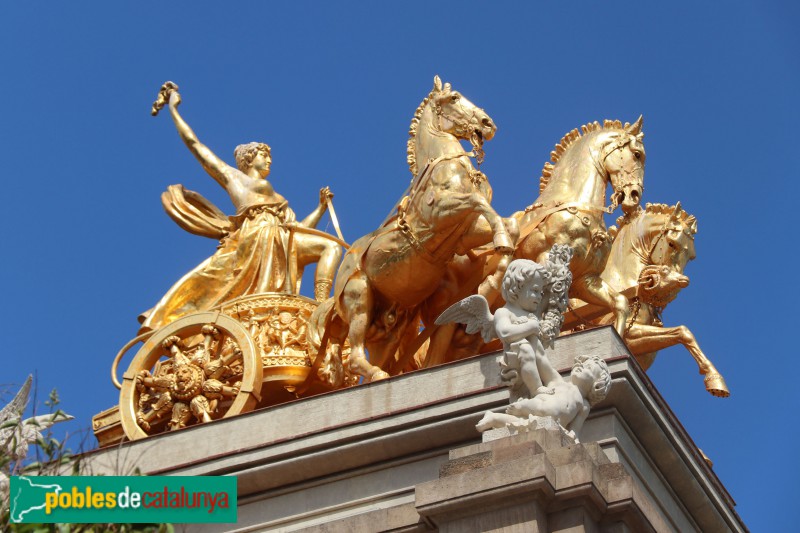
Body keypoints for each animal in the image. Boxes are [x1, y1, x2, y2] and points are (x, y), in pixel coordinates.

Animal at [310, 75, 516, 382]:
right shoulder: (440, 212)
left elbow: (505, 225)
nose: (487, 123)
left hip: (390, 329)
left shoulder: (465, 234)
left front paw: (491, 280)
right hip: (359, 297)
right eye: (454, 97)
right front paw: (498, 252)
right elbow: (481, 203)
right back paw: (376, 374)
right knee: (356, 357)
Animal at [592, 203, 732, 394]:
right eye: (672, 243)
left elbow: (684, 332)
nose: (679, 285)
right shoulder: (628, 333)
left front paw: (715, 380)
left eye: (692, 256)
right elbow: (682, 332)